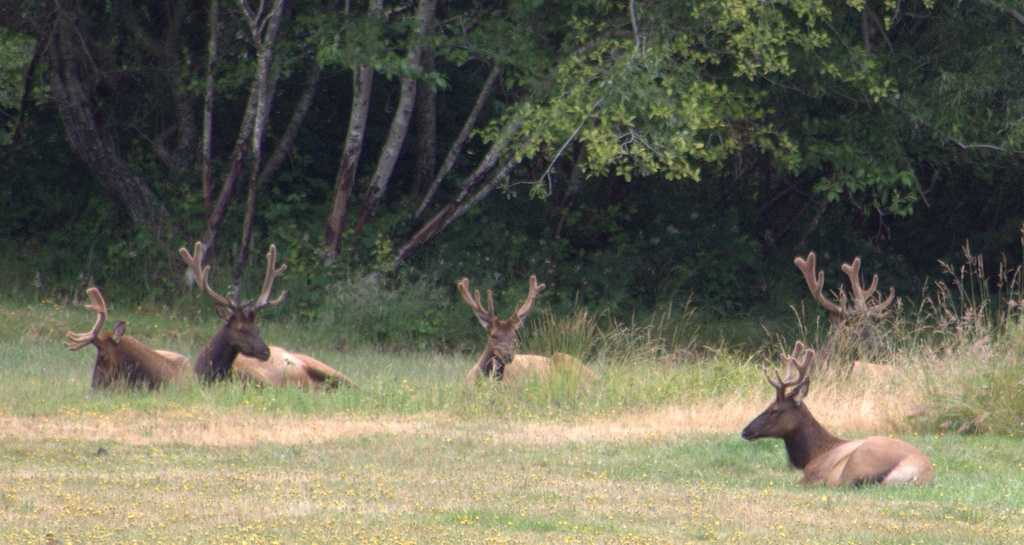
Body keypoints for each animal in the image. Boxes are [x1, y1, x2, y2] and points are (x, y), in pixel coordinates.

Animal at [182, 240, 358, 389]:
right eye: (241, 329)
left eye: (258, 329)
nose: (266, 352)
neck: (207, 374)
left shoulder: (261, 381)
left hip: (322, 366)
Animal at [741, 340, 933, 485]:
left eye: (774, 410)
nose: (745, 431)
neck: (812, 455)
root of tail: (922, 472)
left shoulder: (812, 474)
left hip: (858, 462)